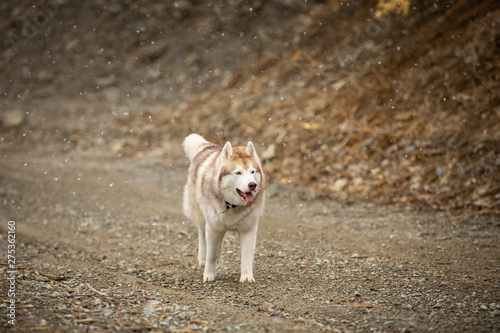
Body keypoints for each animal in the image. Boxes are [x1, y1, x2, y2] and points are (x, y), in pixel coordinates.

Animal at [183, 134, 266, 282]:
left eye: (252, 171)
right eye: (238, 173)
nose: (252, 185)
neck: (232, 205)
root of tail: (208, 146)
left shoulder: (248, 228)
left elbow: (247, 254)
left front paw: (247, 276)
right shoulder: (213, 227)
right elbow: (211, 254)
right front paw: (209, 274)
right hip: (201, 216)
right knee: (201, 233)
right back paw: (202, 257)